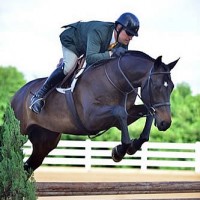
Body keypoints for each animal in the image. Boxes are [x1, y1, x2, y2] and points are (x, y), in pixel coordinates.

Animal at [10, 50, 179, 173]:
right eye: (156, 86)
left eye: (171, 87)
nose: (165, 123)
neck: (117, 80)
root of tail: (17, 94)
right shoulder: (90, 119)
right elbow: (120, 112)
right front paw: (119, 151)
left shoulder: (124, 116)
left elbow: (146, 113)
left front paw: (134, 145)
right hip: (20, 132)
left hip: (45, 141)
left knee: (29, 165)